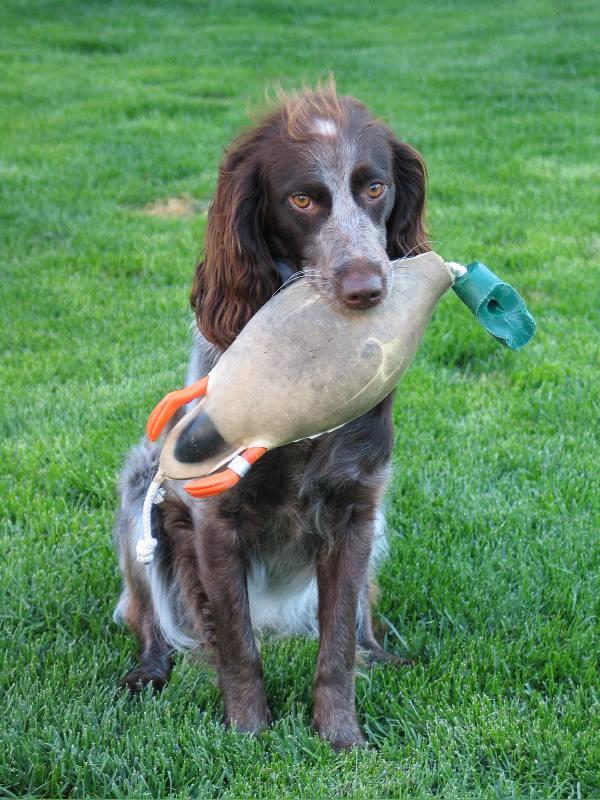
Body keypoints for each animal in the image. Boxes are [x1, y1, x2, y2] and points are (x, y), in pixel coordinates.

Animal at [113, 81, 432, 752]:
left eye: (375, 187)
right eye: (303, 200)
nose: (367, 288)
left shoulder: (358, 508)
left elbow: (337, 649)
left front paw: (342, 739)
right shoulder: (214, 518)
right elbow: (237, 647)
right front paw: (249, 736)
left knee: (359, 627)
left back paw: (384, 655)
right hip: (140, 487)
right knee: (147, 617)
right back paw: (147, 673)